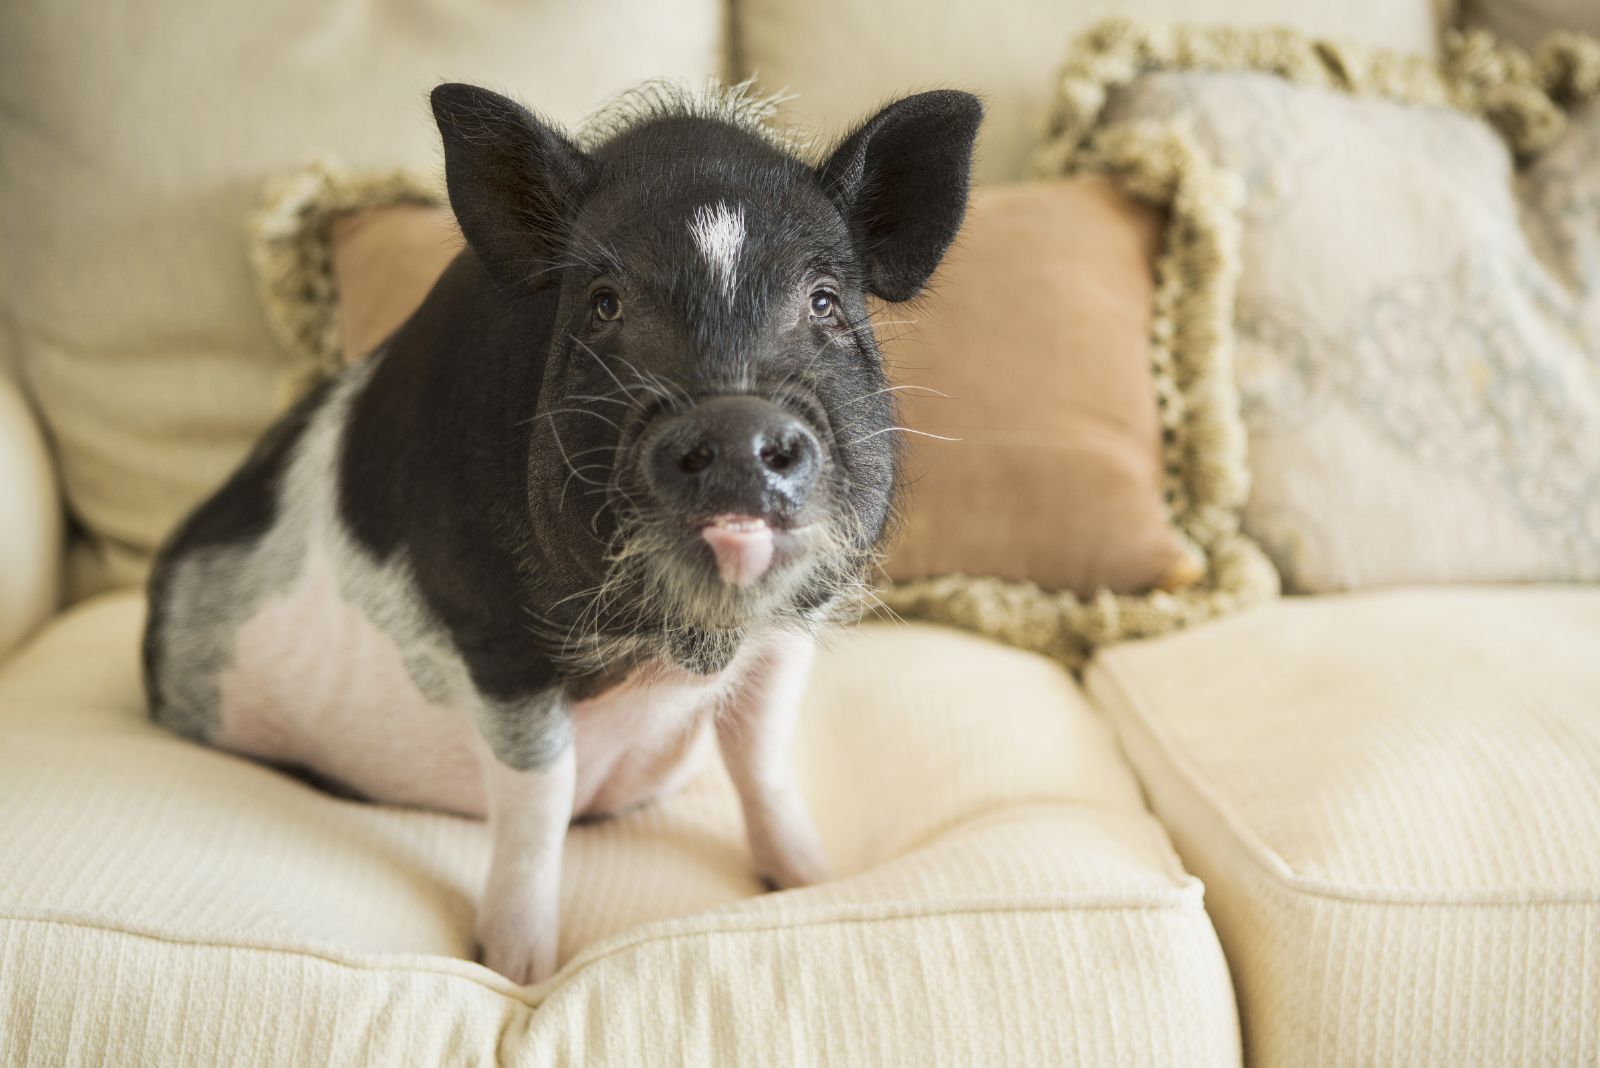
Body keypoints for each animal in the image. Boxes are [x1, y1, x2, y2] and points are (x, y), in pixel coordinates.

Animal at [144, 81, 979, 984]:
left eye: (824, 299)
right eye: (603, 303)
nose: (735, 423)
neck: (675, 650)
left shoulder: (795, 624)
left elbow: (762, 759)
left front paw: (817, 881)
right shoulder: (492, 633)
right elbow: (539, 796)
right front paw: (518, 970)